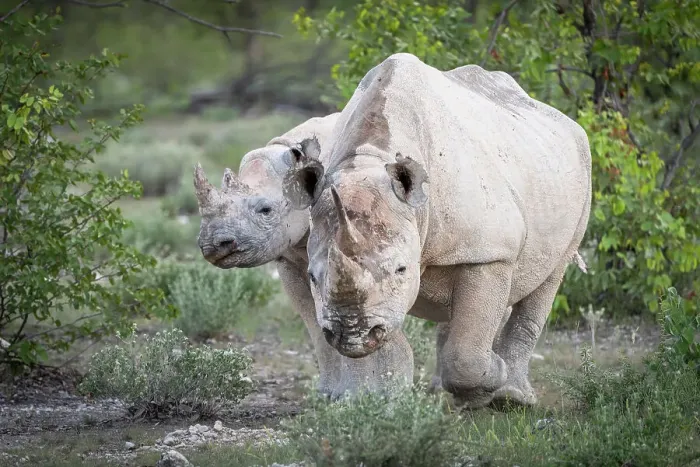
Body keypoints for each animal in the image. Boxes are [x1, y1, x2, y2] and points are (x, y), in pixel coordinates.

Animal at [193, 113, 415, 399]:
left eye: (266, 210)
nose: (213, 245)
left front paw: (374, 395)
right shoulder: (289, 257)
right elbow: (315, 321)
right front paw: (330, 394)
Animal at [282, 53, 591, 408]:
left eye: (401, 269)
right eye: (312, 277)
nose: (352, 333)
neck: (369, 160)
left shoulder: (490, 253)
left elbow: (466, 352)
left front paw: (492, 377)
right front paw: (371, 399)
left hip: (578, 172)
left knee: (550, 277)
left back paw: (512, 398)